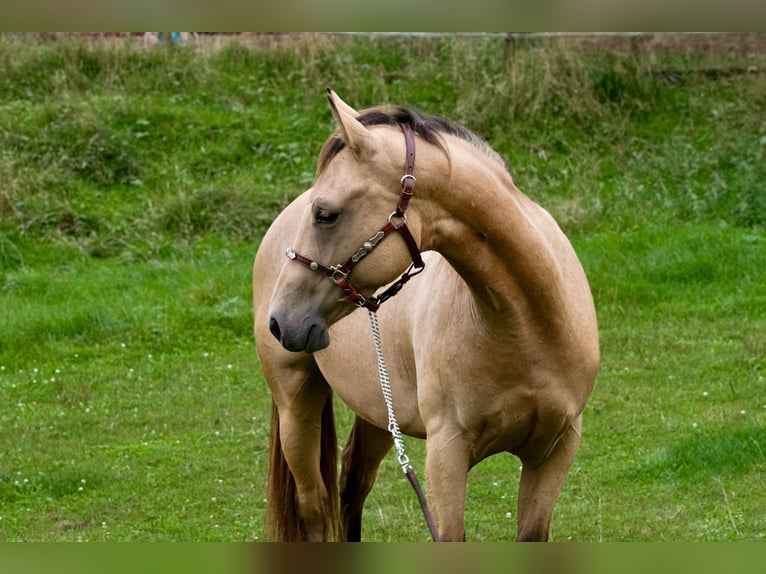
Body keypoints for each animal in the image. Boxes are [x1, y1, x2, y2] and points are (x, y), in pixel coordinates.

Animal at [252, 90, 600, 544]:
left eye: (325, 214)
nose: (280, 321)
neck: (527, 328)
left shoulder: (556, 450)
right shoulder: (446, 453)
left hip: (379, 412)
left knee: (353, 484)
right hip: (297, 402)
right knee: (313, 504)